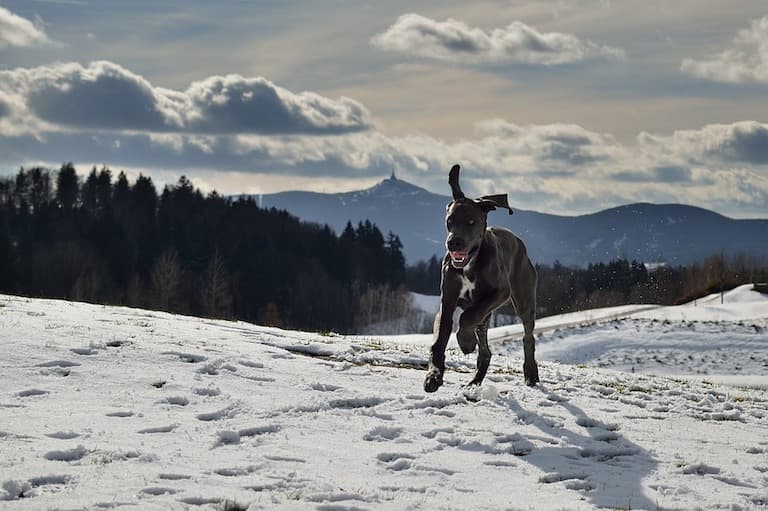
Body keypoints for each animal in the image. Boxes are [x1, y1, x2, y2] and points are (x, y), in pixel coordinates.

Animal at [426, 164, 540, 392]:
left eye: (471, 221)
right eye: (449, 221)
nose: (454, 243)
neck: (470, 264)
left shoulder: (500, 292)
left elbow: (466, 317)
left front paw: (466, 342)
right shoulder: (447, 300)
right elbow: (440, 338)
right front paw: (433, 376)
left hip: (523, 300)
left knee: (527, 336)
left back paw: (530, 373)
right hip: (487, 317)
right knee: (486, 350)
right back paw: (474, 381)